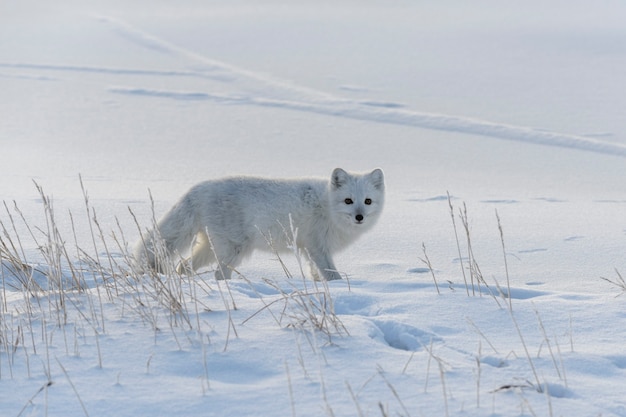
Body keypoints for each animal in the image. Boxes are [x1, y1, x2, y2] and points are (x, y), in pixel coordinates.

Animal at [134, 167, 382, 282]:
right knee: (218, 274)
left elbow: (316, 274)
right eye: (348, 201)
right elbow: (331, 274)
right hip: (233, 249)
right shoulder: (317, 248)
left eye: (367, 201)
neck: (327, 206)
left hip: (211, 248)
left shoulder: (308, 250)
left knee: (183, 266)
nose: (359, 217)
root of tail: (199, 188)